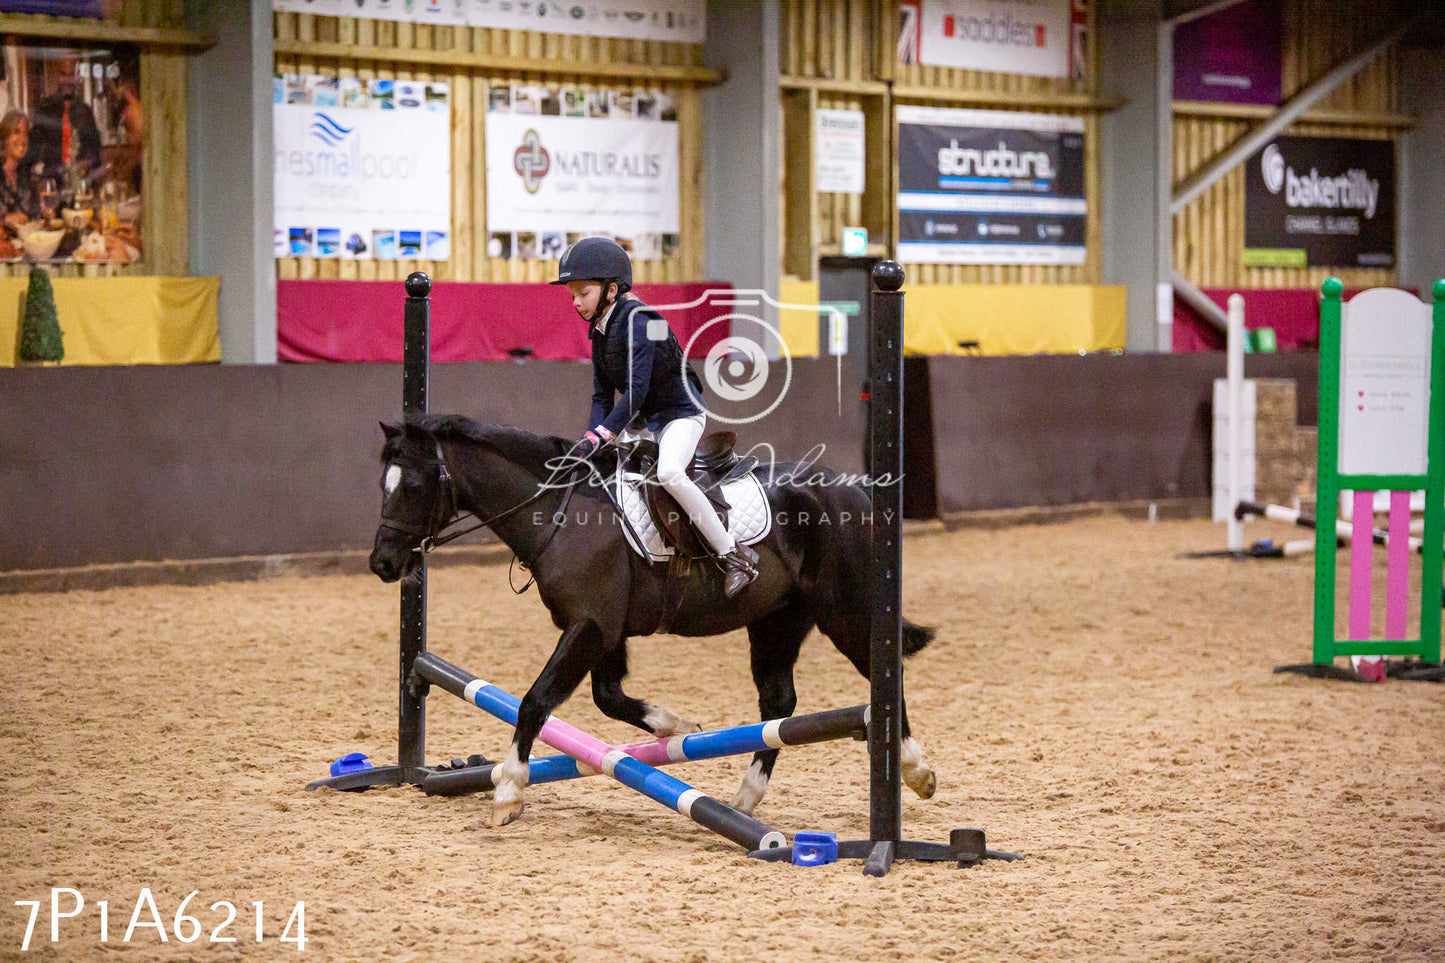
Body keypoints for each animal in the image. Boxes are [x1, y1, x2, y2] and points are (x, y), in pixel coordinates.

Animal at [367, 413, 942, 827]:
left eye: (413, 485)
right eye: (383, 484)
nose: (383, 564)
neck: (557, 511)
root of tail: (851, 489)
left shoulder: (591, 625)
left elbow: (535, 701)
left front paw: (508, 789)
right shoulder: (604, 631)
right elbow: (609, 697)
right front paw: (678, 727)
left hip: (845, 611)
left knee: (884, 673)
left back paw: (915, 770)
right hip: (776, 621)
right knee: (779, 705)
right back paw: (744, 798)